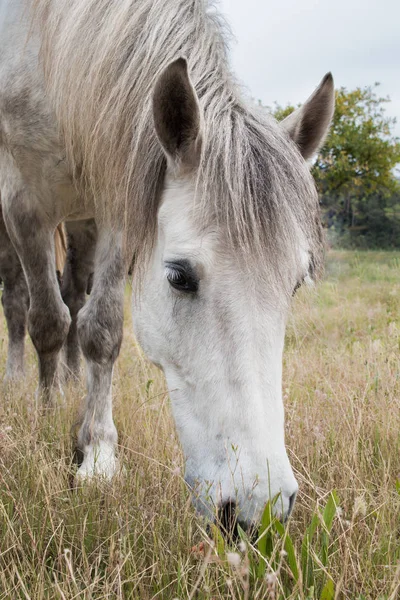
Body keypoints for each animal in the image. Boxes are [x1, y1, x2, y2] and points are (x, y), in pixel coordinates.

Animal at [0, 0, 334, 524]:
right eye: (179, 276)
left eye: (296, 284)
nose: (258, 508)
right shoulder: (23, 202)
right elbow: (47, 322)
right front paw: (46, 420)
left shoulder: (121, 198)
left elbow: (100, 328)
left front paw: (97, 452)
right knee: (19, 303)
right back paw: (18, 384)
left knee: (74, 297)